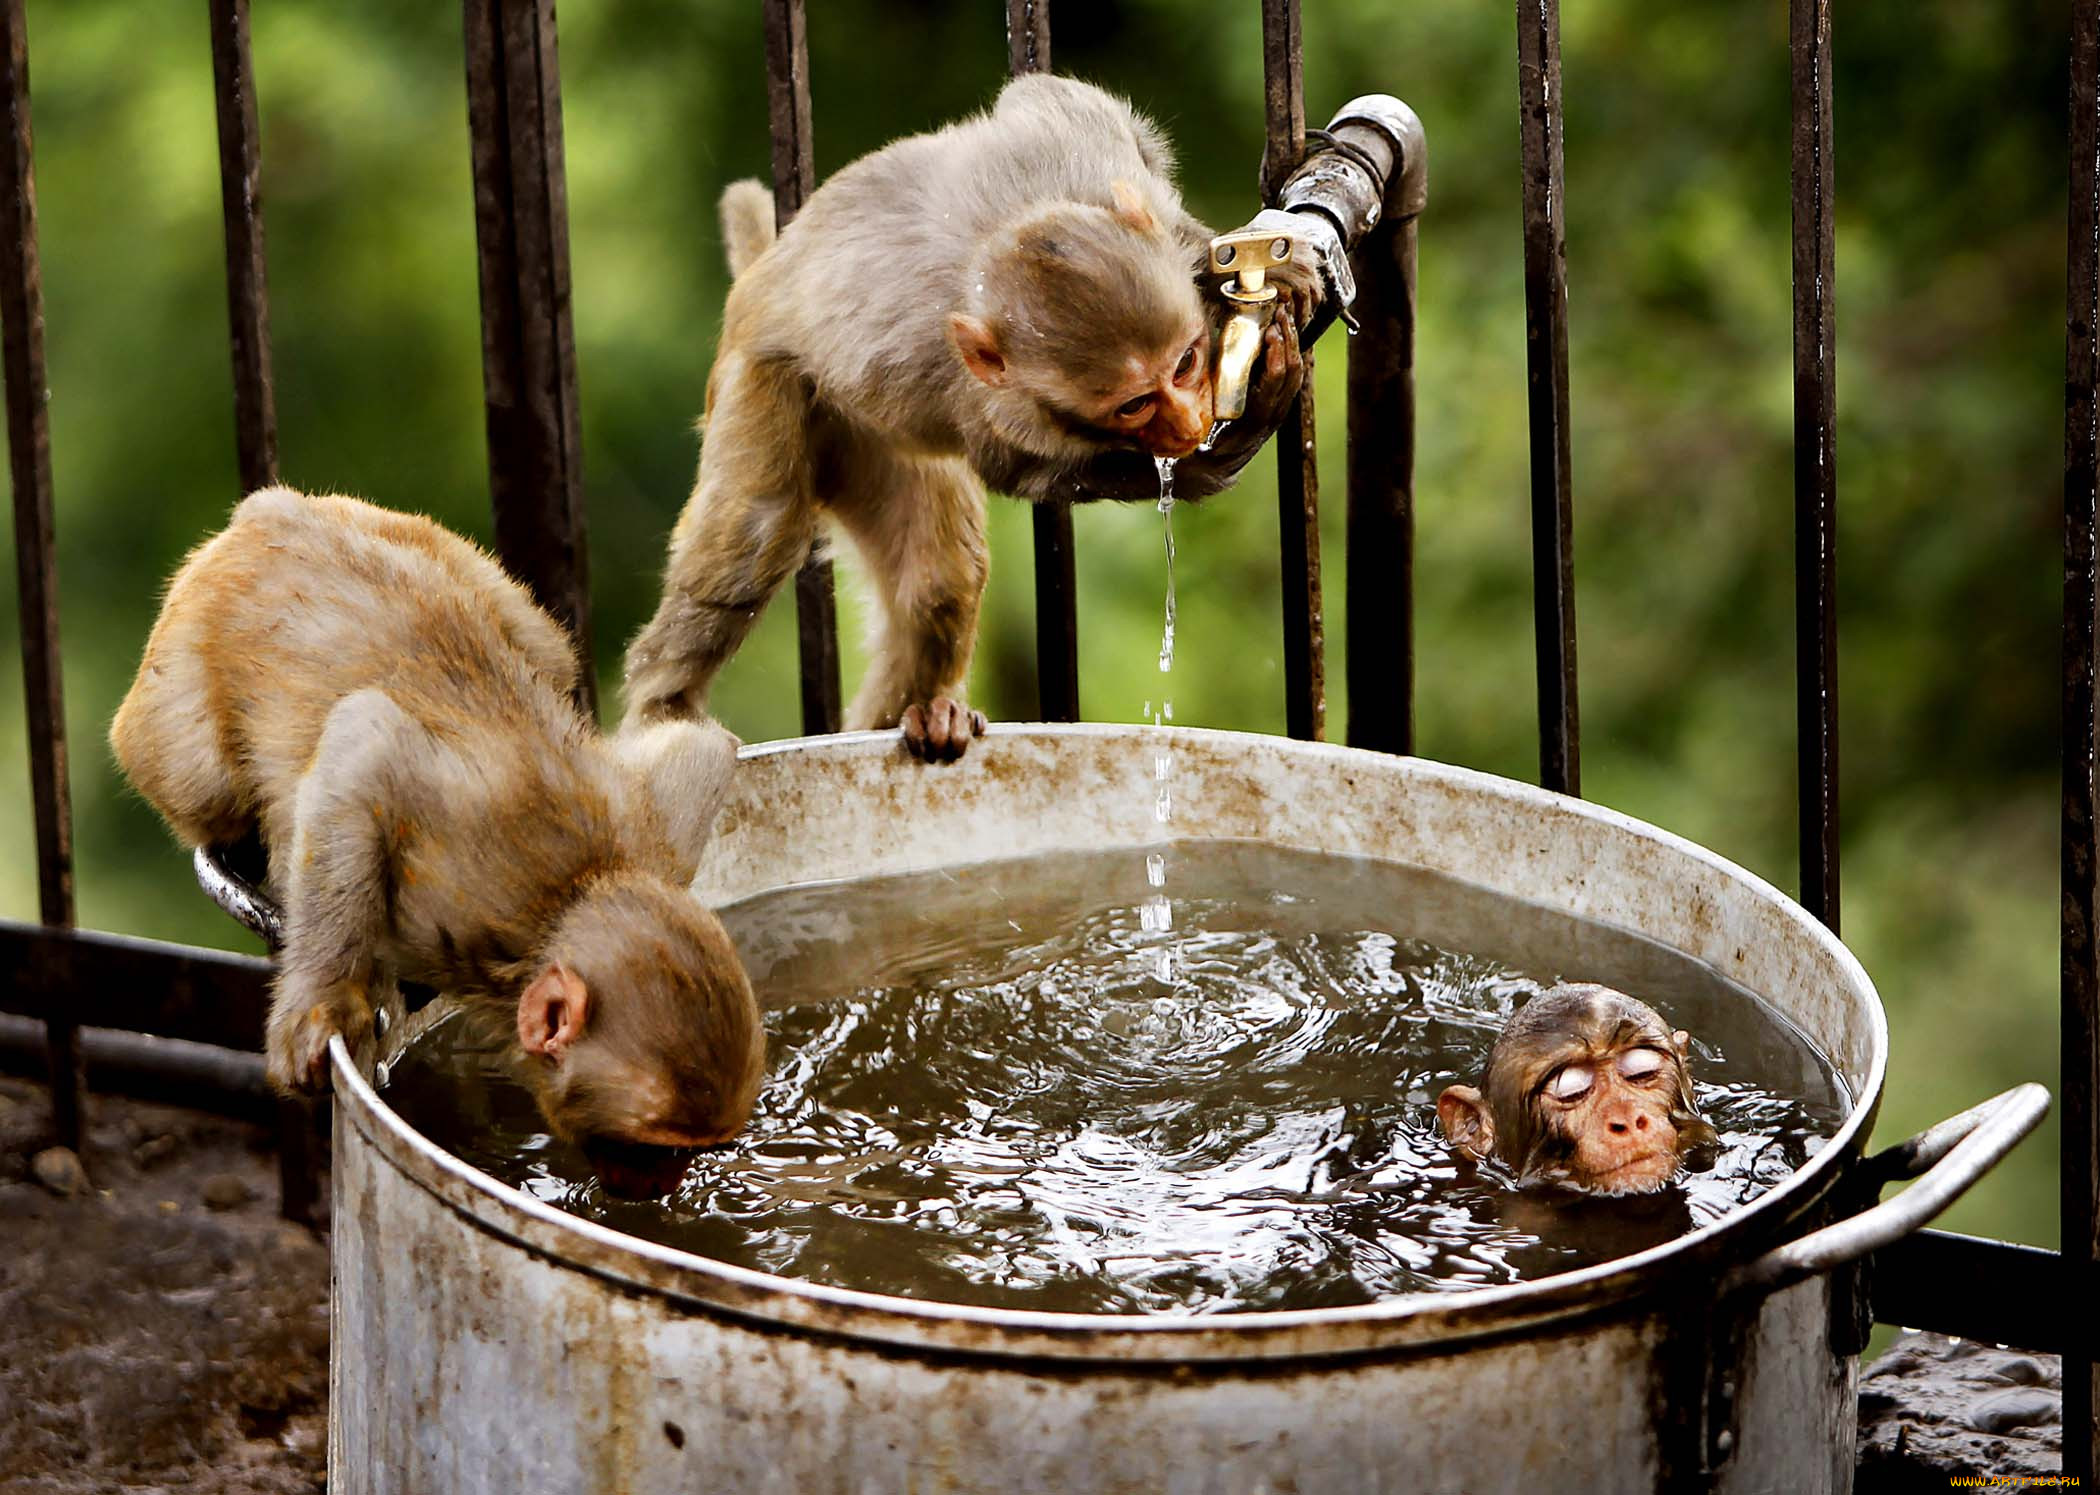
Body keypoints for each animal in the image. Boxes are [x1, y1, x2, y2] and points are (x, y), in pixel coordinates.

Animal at [110, 485, 768, 1150]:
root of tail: (272, 512)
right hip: (180, 675)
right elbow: (364, 740)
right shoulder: (458, 882)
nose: (666, 1179)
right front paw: (321, 1004)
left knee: (545, 650)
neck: (567, 897)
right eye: (653, 1148)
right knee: (206, 784)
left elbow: (704, 747)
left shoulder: (653, 836)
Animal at [613, 71, 1318, 764]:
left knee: (939, 579)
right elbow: (1021, 469)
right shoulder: (991, 403)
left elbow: (1050, 97)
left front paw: (1237, 267)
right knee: (761, 528)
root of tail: (758, 277)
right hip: (766, 380)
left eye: (1186, 362)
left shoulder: (1084, 145)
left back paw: (922, 713)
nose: (1188, 424)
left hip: (863, 440)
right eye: (1134, 404)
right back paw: (663, 708)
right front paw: (1225, 448)